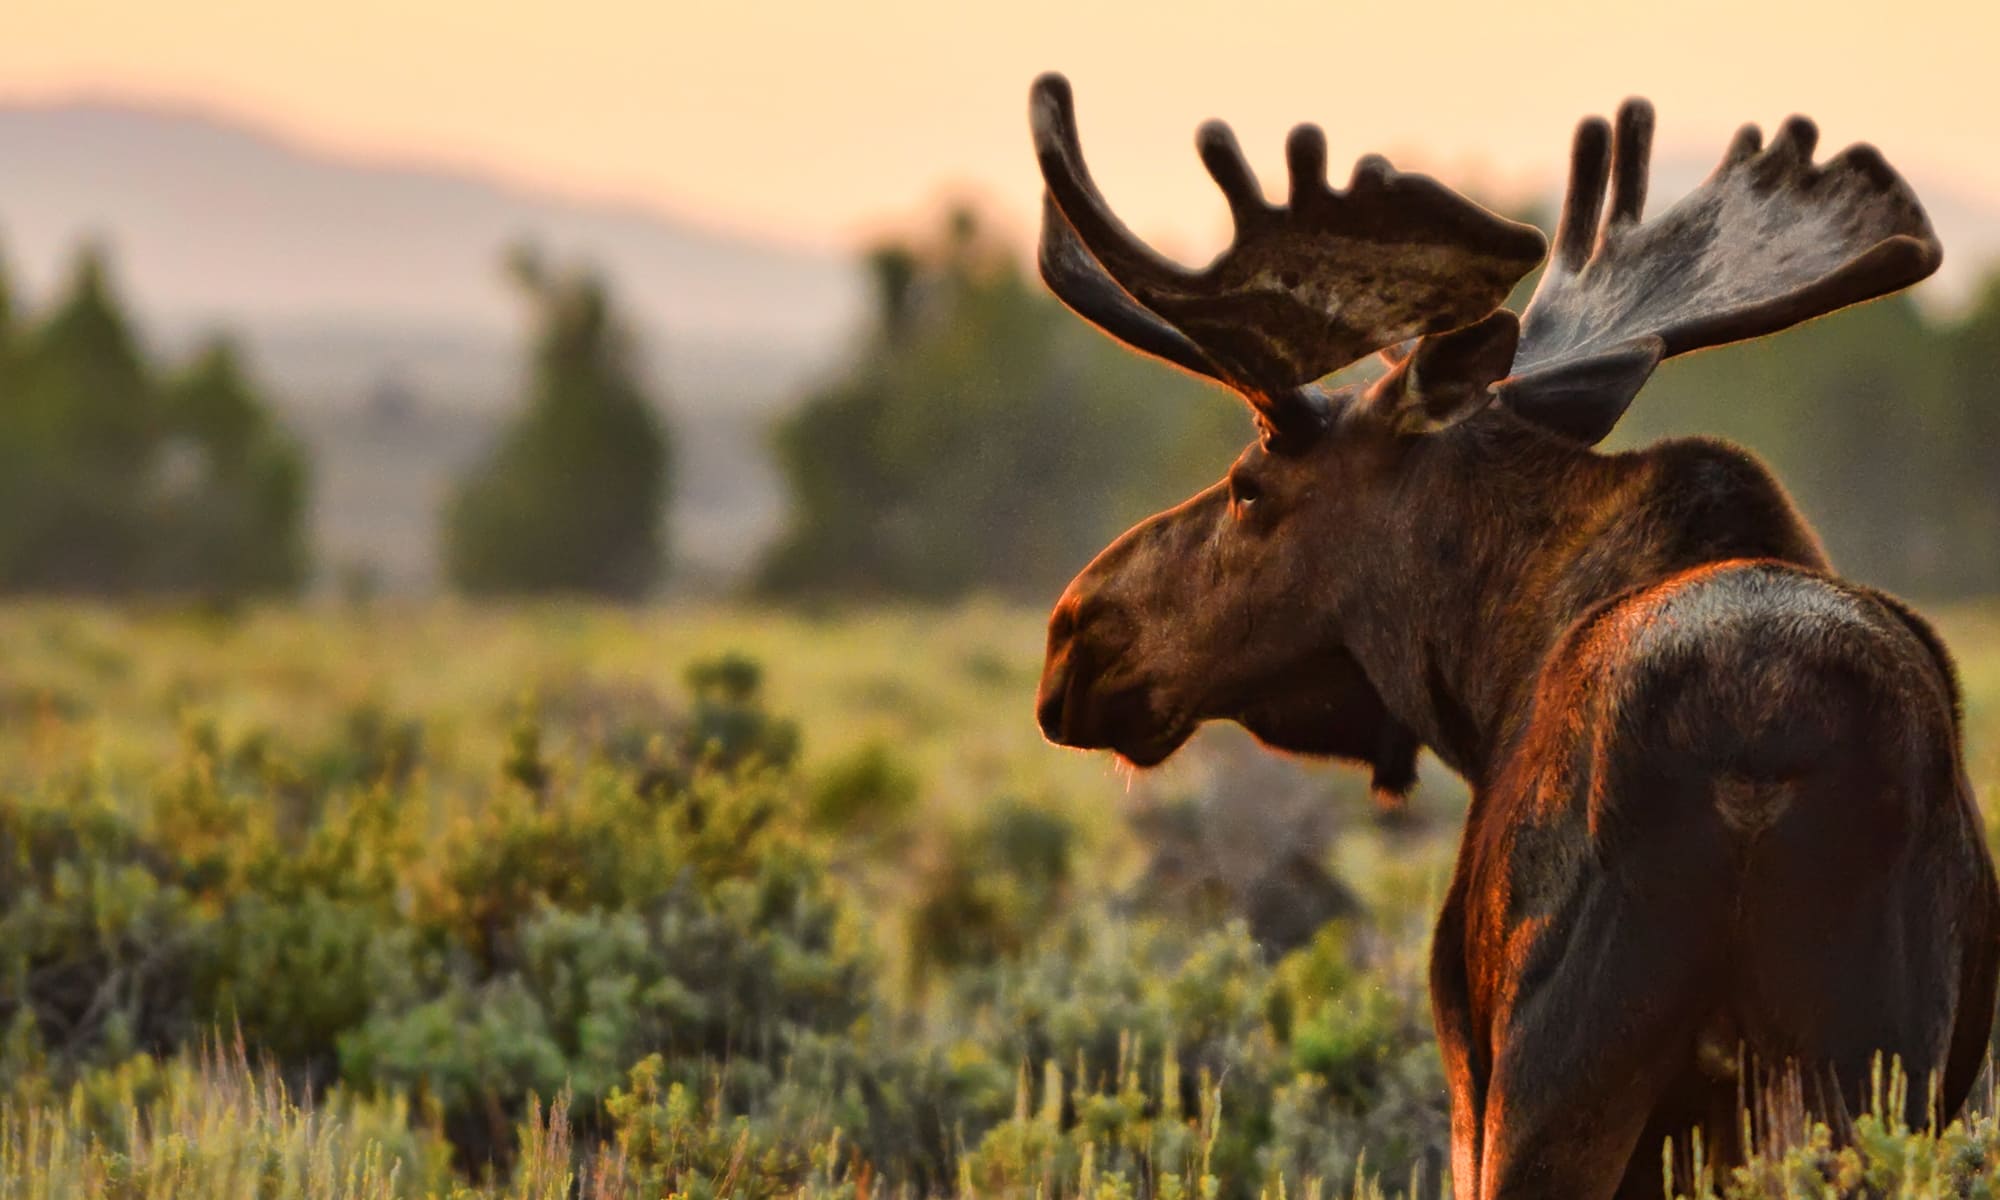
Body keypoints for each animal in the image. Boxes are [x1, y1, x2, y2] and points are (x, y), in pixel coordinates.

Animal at [1032, 70, 2000, 1192]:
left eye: (1248, 484)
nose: (1075, 635)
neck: (1482, 673)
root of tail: (1758, 752)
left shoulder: (1465, 1057)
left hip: (1558, 1067)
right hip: (1876, 1063)